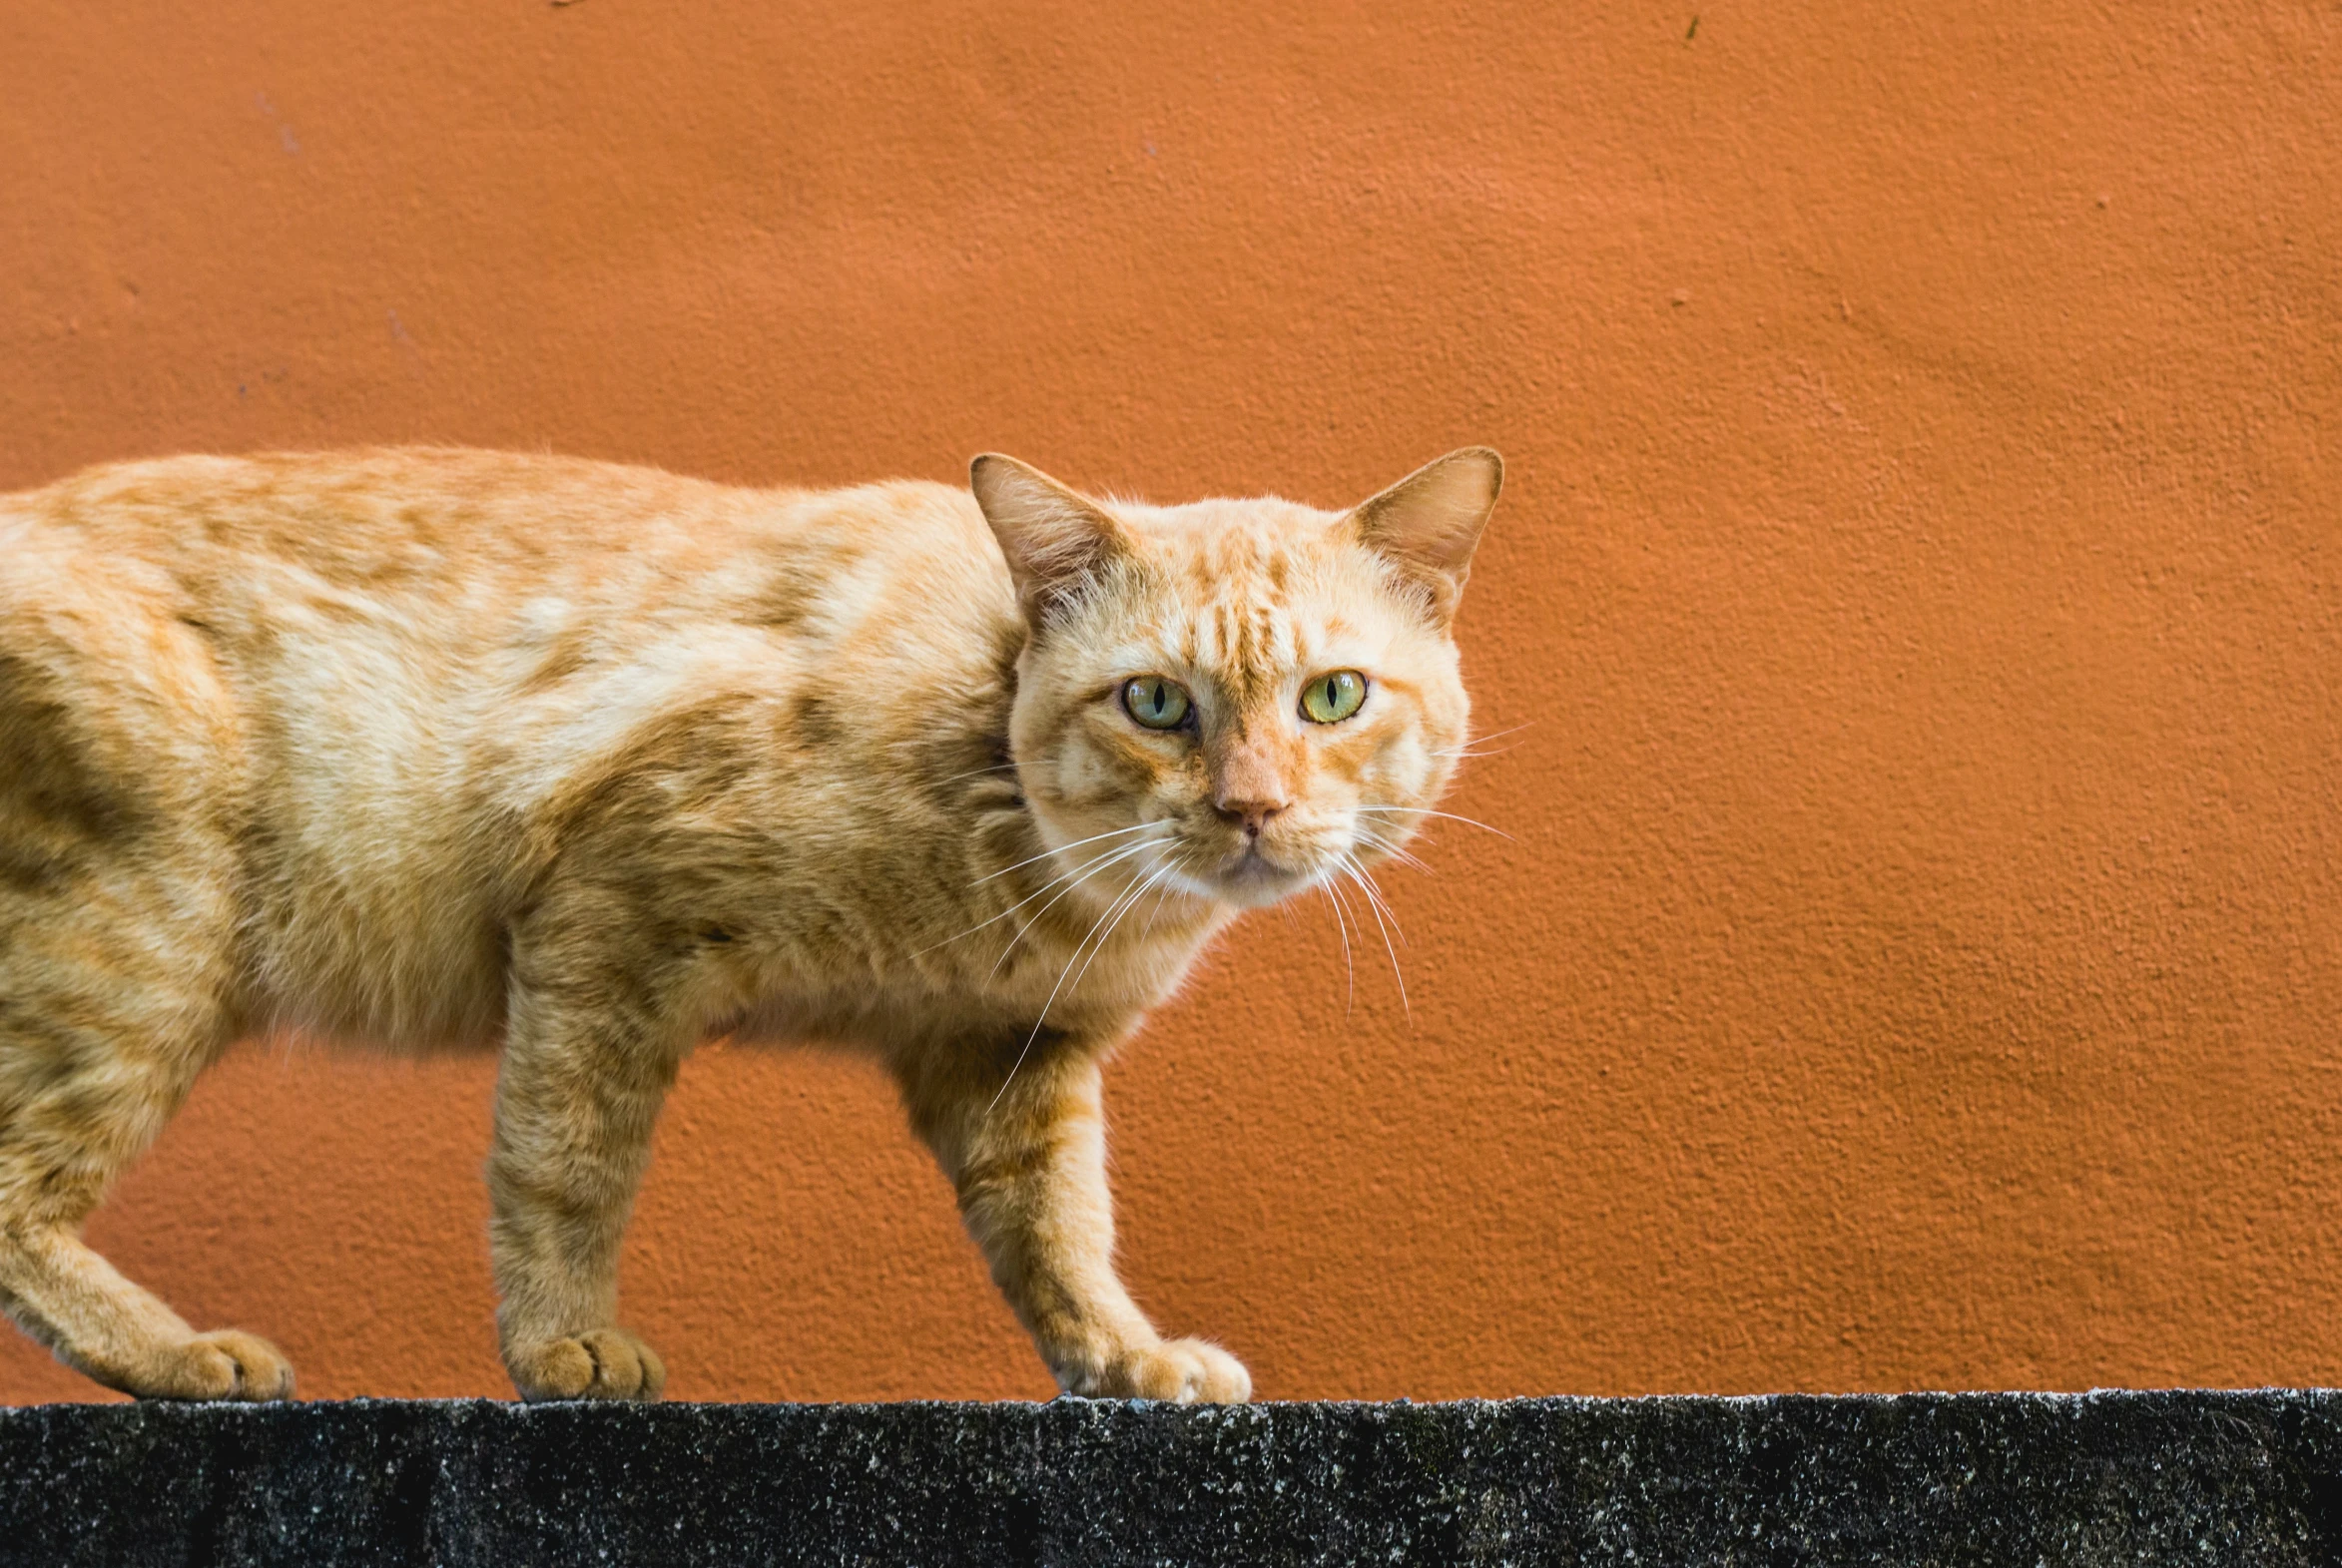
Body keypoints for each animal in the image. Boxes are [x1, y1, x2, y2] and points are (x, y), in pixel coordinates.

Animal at [0, 449, 1498, 1403]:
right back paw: (183, 1357)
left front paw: (1124, 1358)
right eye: (1155, 702)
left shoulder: (1014, 1056)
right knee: (17, 1188)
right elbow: (565, 1167)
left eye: (1330, 696)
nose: (1250, 807)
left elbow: (1063, 1228)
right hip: (143, 948)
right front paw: (563, 1347)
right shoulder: (606, 913)